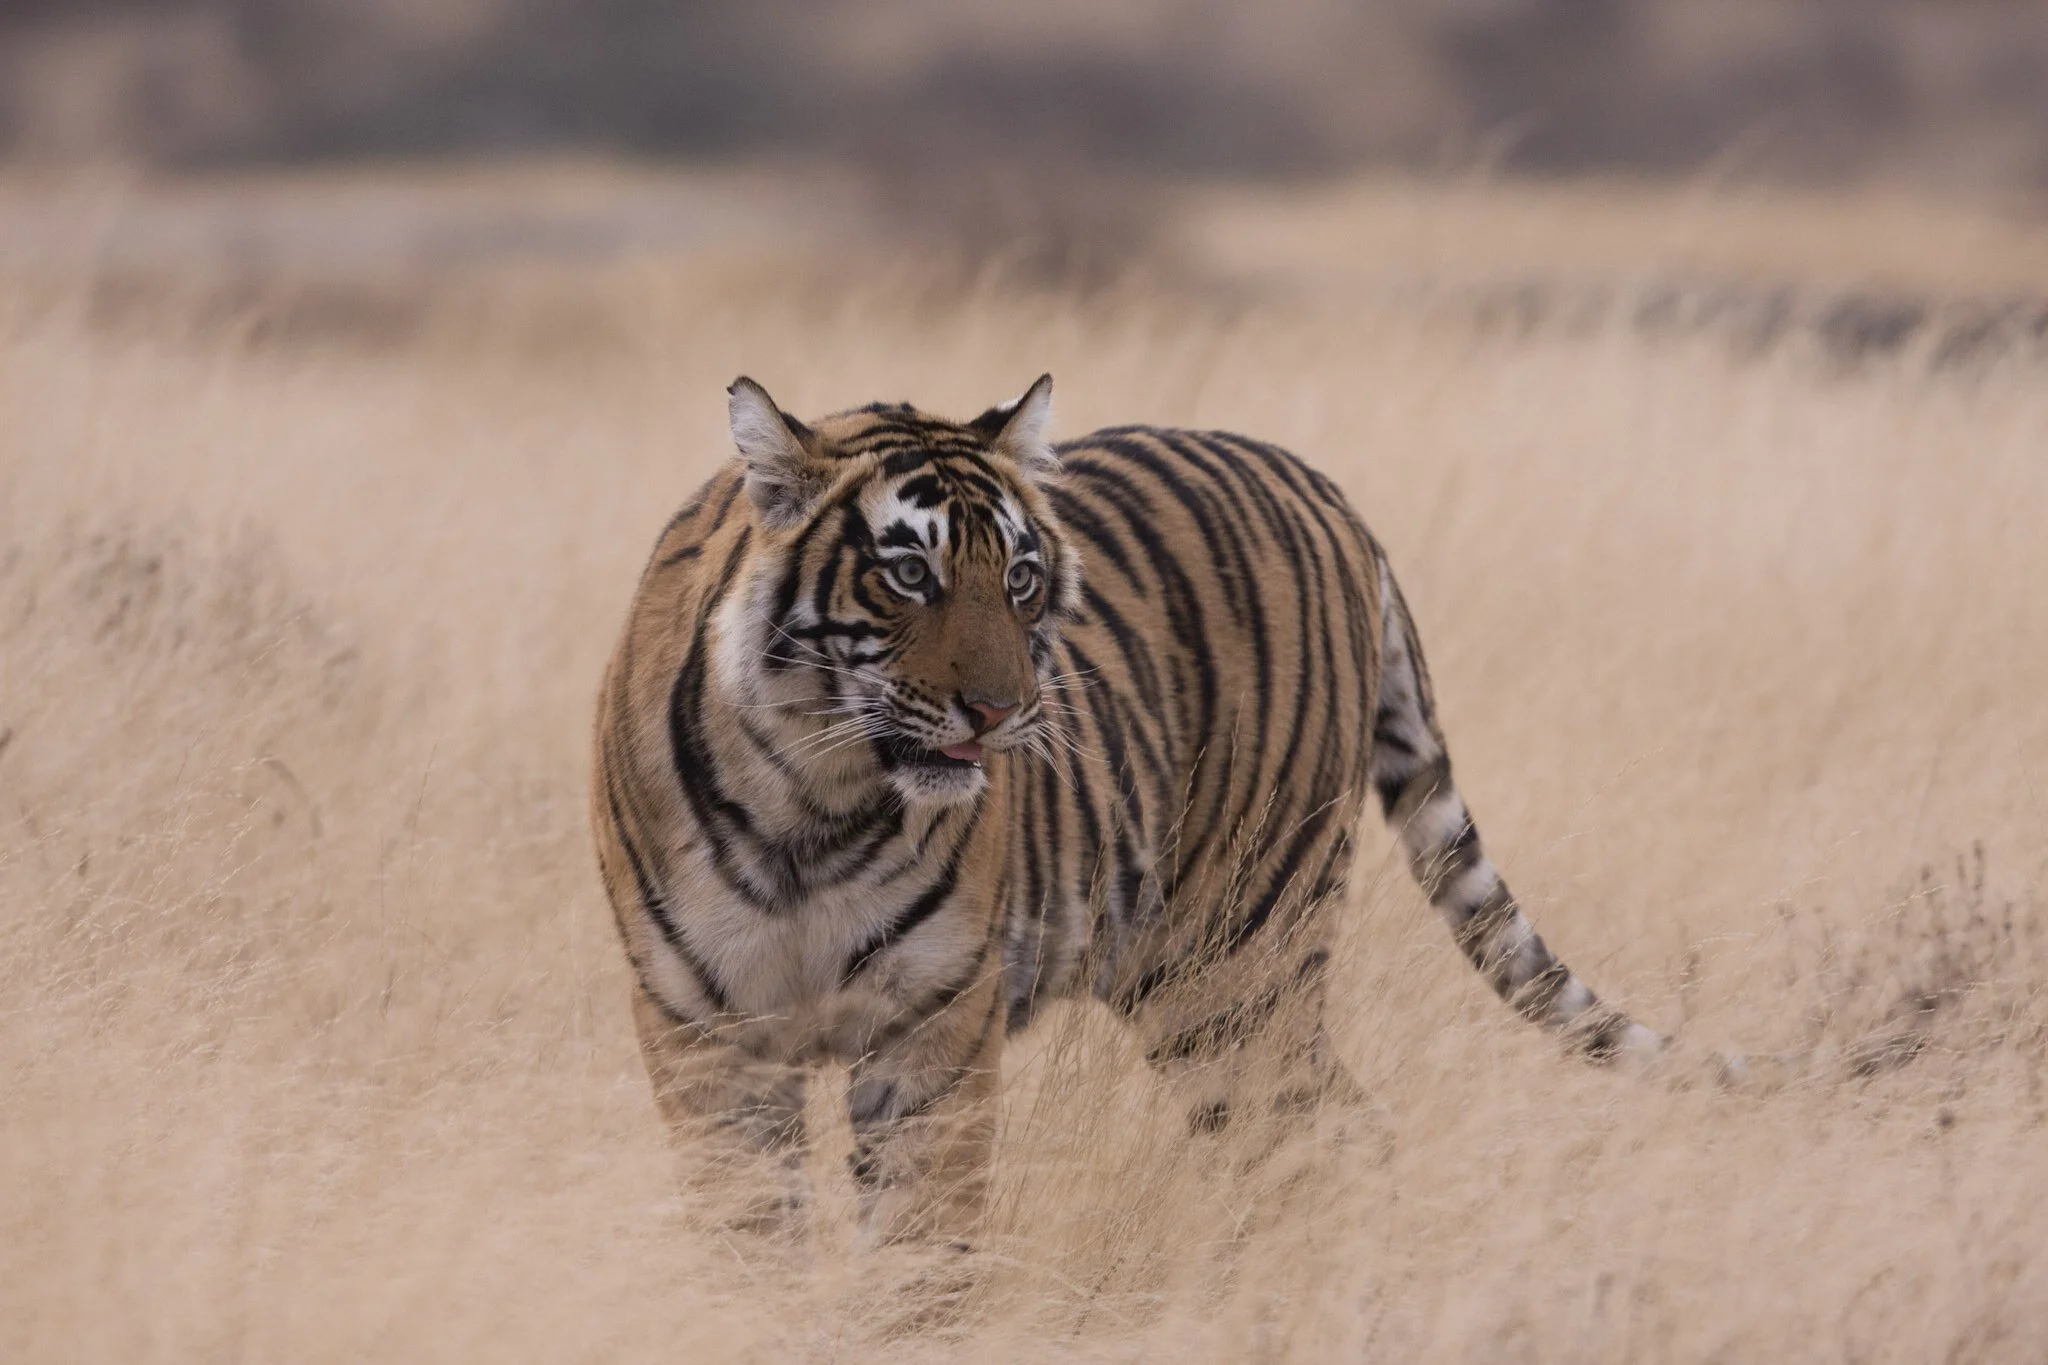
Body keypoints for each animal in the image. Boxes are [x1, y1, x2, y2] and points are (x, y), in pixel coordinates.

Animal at [590, 374, 1663, 1244]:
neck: (816, 809)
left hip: (1240, 962)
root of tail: (1325, 487)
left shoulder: (934, 1024)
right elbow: (751, 1243)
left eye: (1020, 578)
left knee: (1315, 1133)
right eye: (909, 574)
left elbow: (915, 1257)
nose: (1002, 710)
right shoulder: (704, 1038)